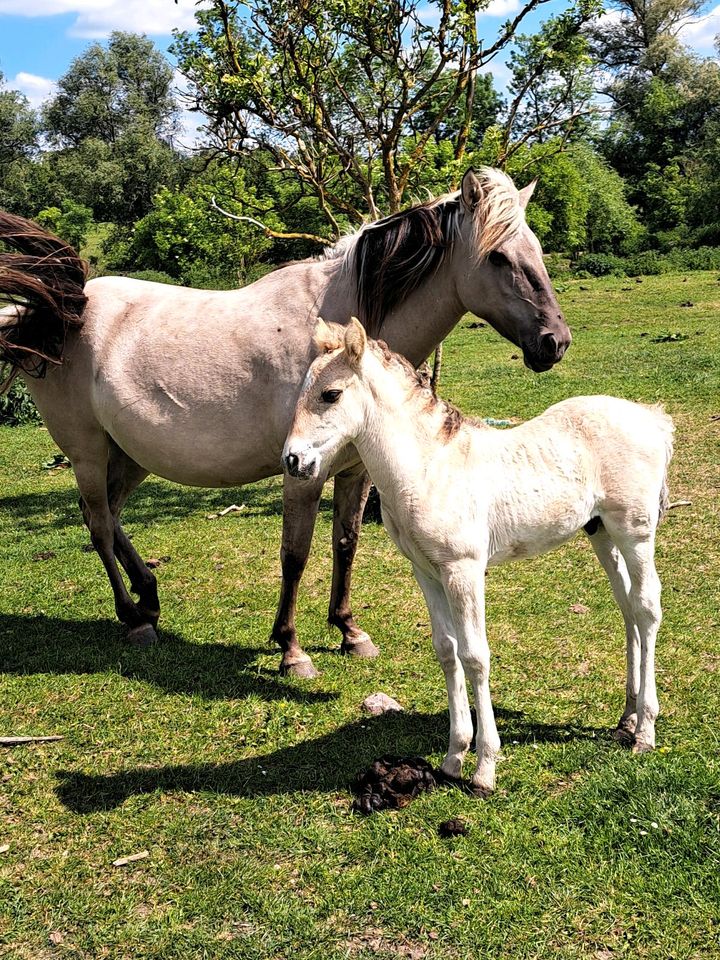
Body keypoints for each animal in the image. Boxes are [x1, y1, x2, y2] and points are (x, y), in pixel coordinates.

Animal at [1, 167, 572, 676]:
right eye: (498, 256)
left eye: (538, 251)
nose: (555, 341)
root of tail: (63, 309)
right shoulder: (303, 471)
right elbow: (295, 554)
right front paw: (291, 648)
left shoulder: (355, 472)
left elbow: (346, 543)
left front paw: (349, 630)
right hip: (87, 452)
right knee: (99, 524)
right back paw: (133, 618)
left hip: (129, 455)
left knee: (110, 516)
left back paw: (149, 598)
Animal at [282, 320, 676, 796]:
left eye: (331, 394)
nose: (293, 460)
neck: (429, 466)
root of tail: (652, 418)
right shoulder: (426, 572)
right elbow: (447, 651)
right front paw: (454, 757)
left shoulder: (464, 570)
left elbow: (475, 655)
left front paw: (485, 766)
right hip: (602, 534)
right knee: (627, 609)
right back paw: (627, 717)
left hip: (635, 533)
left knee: (647, 608)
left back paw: (645, 731)